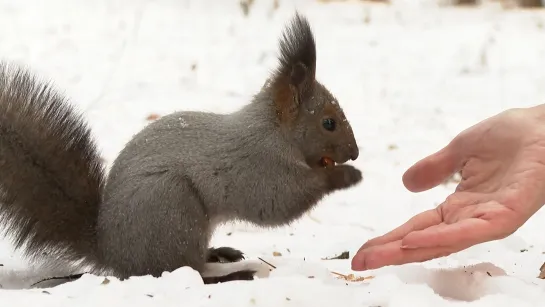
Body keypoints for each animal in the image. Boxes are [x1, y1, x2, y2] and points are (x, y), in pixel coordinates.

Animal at [0, 12, 362, 286]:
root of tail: (113, 252)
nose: (354, 152)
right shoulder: (257, 166)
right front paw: (344, 175)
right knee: (184, 271)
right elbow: (279, 201)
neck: (274, 131)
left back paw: (221, 253)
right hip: (175, 211)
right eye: (328, 123)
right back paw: (231, 275)